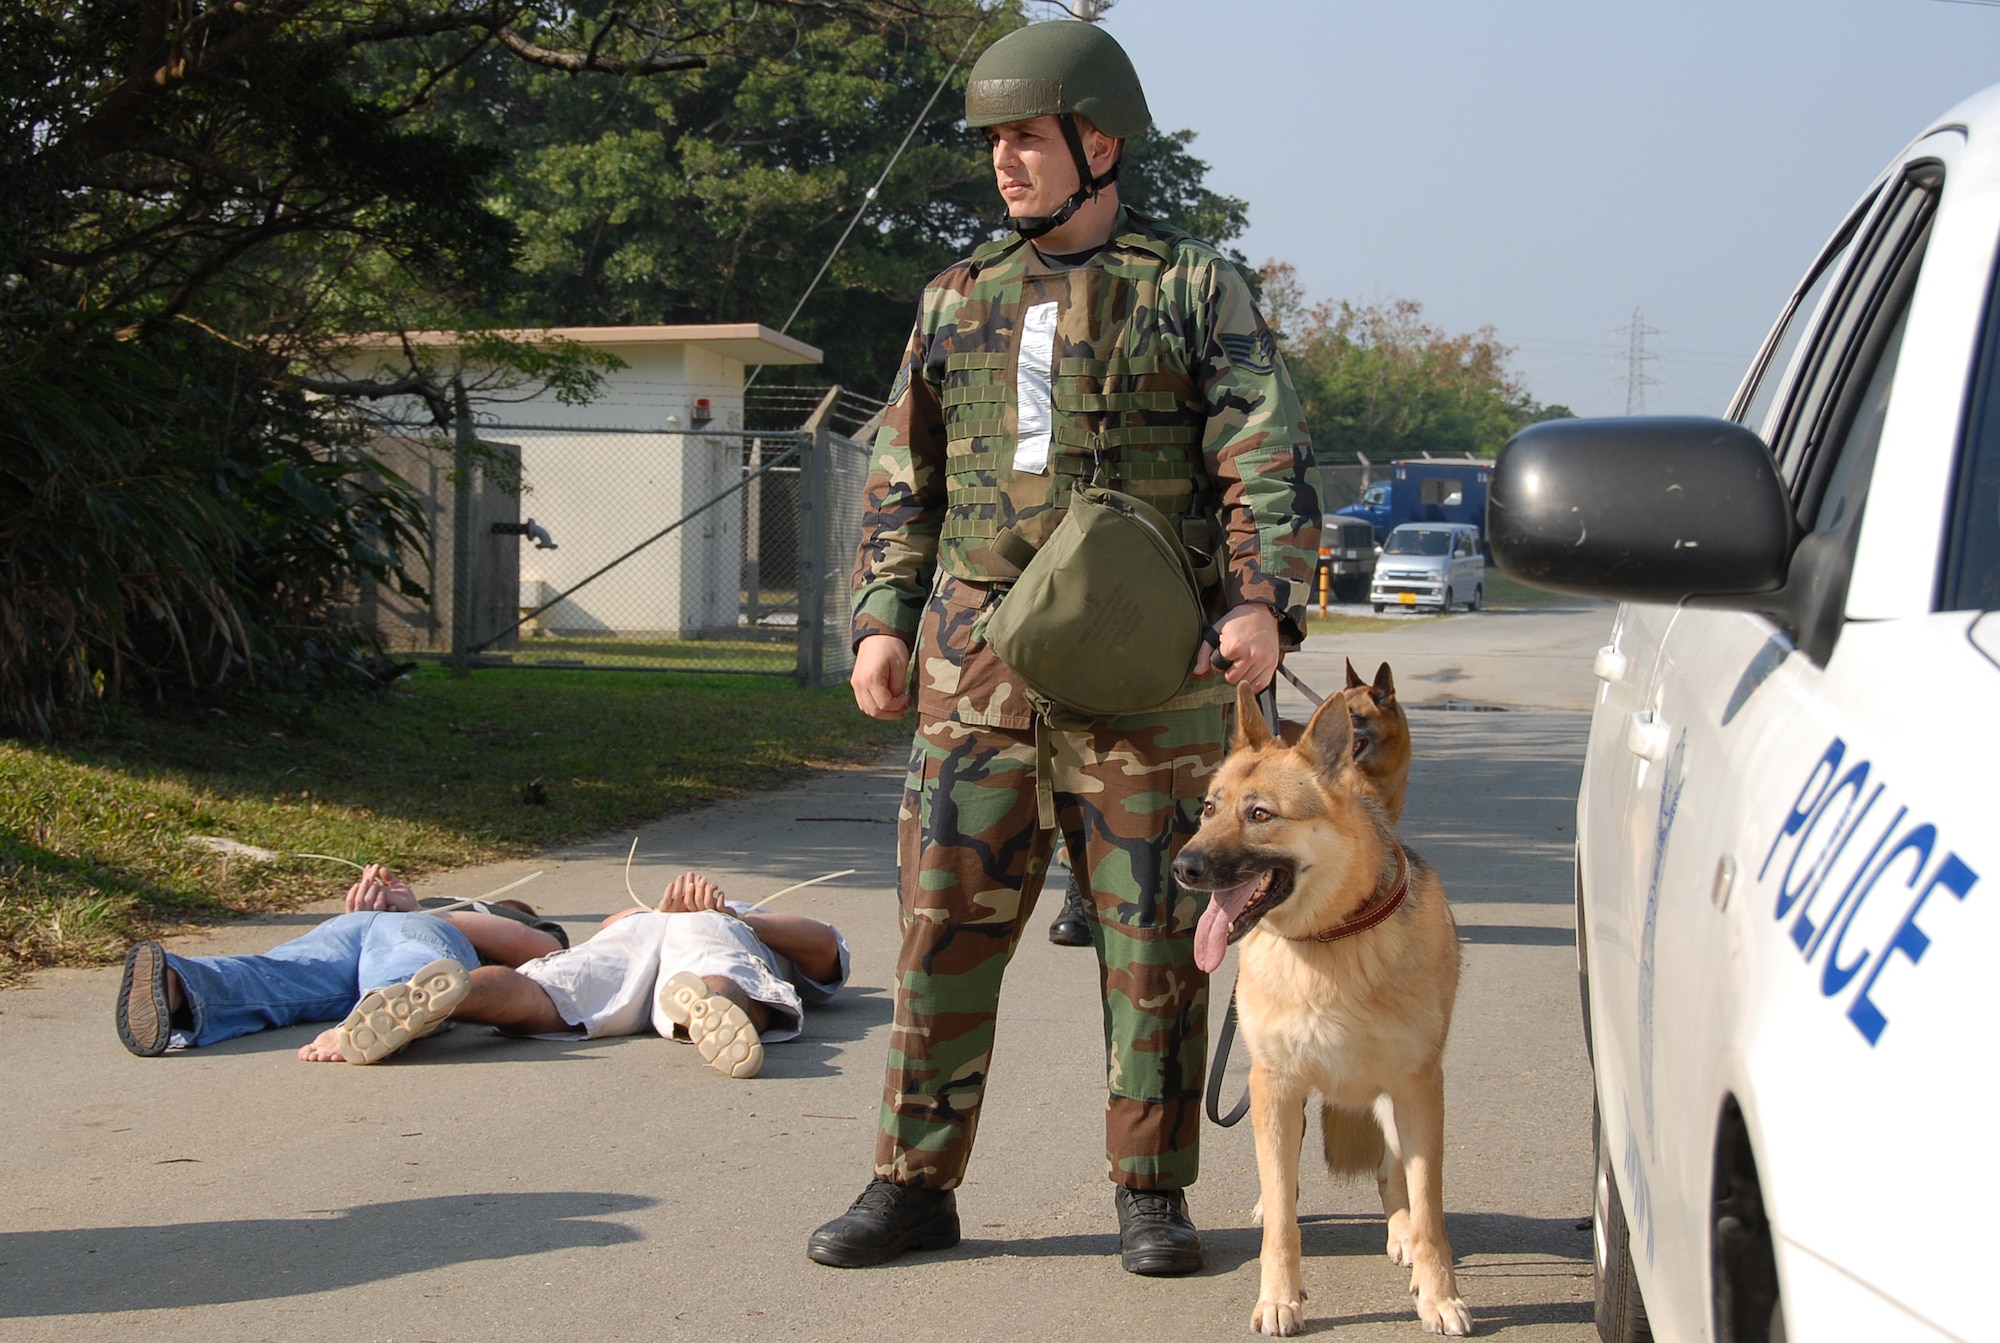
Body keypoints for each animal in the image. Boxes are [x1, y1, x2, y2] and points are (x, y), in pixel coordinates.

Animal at [1168, 687, 1472, 1335]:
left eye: (1260, 815)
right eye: (1209, 808)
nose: (1183, 868)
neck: (1330, 937)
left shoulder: (1417, 1089)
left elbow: (1428, 1209)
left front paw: (1438, 1295)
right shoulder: (1275, 1086)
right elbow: (1285, 1220)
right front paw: (1279, 1298)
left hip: (1390, 1103)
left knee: (1392, 1176)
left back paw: (1402, 1234)